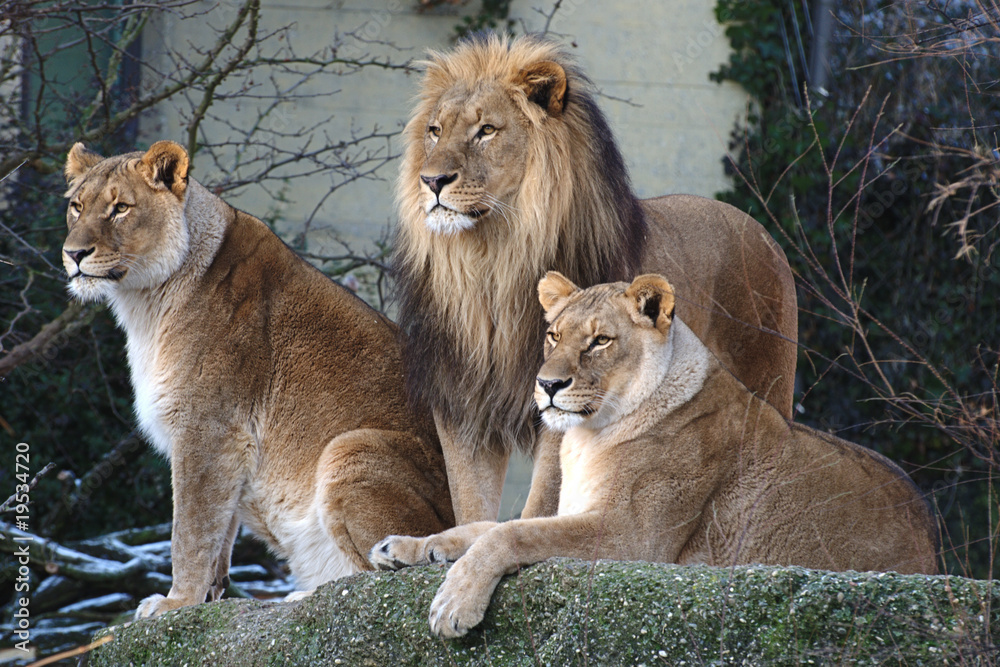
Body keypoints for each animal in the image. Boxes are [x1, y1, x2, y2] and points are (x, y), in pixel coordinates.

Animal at [62, 141, 454, 620]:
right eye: (77, 207)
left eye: (120, 208)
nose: (73, 254)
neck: (145, 305)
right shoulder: (227, 444)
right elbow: (218, 529)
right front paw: (207, 596)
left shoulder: (208, 428)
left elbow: (189, 530)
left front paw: (176, 602)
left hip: (352, 447)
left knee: (388, 573)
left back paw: (309, 594)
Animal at [368, 272, 936, 640]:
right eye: (552, 335)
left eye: (599, 341)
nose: (547, 385)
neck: (589, 436)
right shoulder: (578, 510)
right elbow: (481, 528)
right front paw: (405, 547)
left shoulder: (633, 536)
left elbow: (511, 534)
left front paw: (454, 601)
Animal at [390, 31, 796, 524]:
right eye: (435, 130)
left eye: (486, 130)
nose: (431, 181)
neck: (491, 265)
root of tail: (763, 233)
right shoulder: (461, 401)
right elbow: (470, 506)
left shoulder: (562, 398)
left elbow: (542, 503)